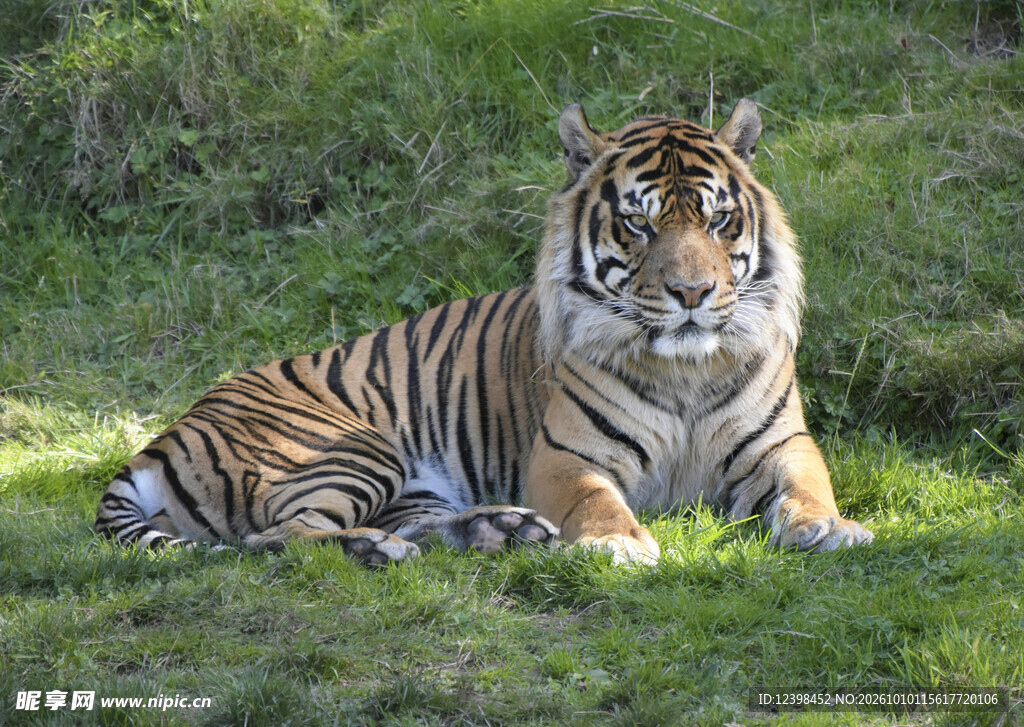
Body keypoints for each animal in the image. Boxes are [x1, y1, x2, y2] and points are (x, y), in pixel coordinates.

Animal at [95, 99, 873, 565]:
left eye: (718, 220)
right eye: (638, 223)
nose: (691, 293)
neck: (686, 367)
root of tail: (173, 427)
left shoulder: (782, 445)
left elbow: (811, 486)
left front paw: (832, 527)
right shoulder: (565, 455)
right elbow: (596, 500)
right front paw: (618, 546)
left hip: (410, 484)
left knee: (404, 525)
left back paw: (501, 528)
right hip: (346, 449)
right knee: (280, 536)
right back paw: (376, 550)